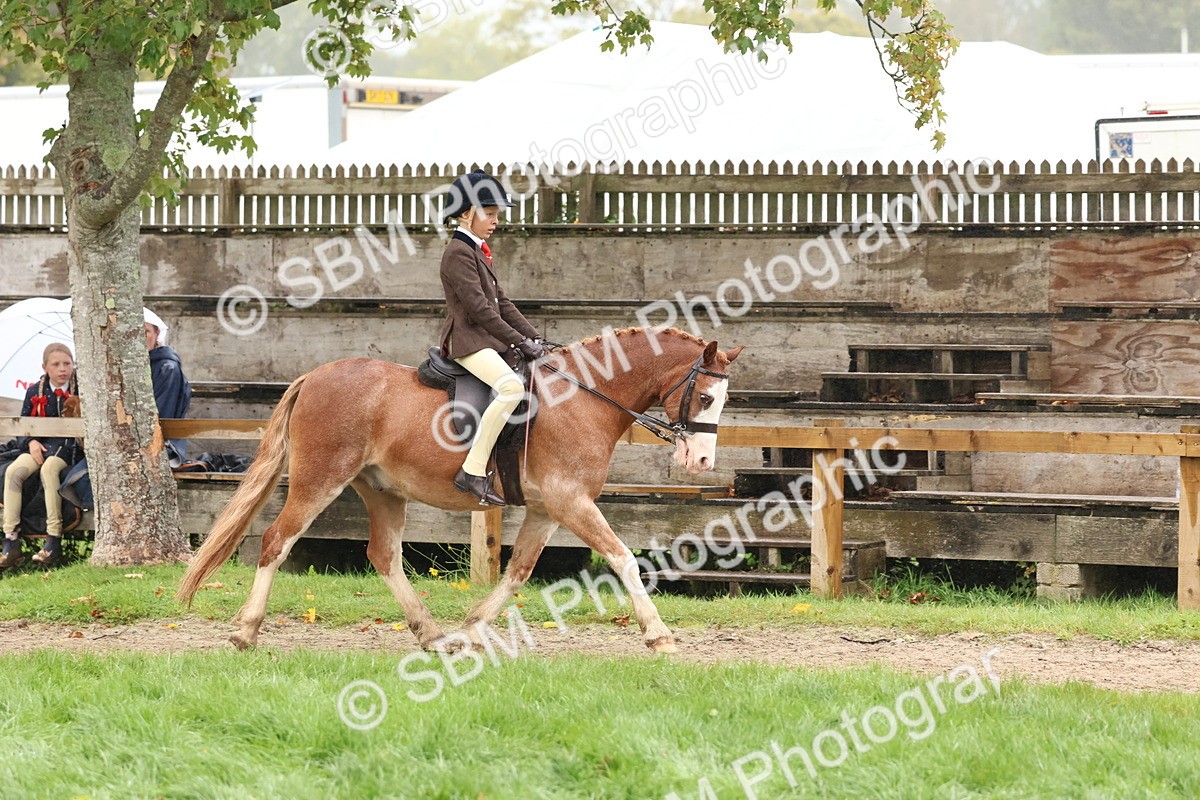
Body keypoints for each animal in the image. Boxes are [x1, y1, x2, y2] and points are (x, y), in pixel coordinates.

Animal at [178, 327, 744, 653]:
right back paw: (246, 631)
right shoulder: (572, 502)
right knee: (277, 541)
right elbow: (624, 558)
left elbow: (518, 572)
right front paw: (659, 635)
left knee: (384, 555)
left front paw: (473, 627)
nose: (702, 460)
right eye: (706, 396)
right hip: (321, 480)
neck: (584, 396)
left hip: (382, 490)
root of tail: (314, 375)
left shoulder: (548, 509)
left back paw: (431, 634)